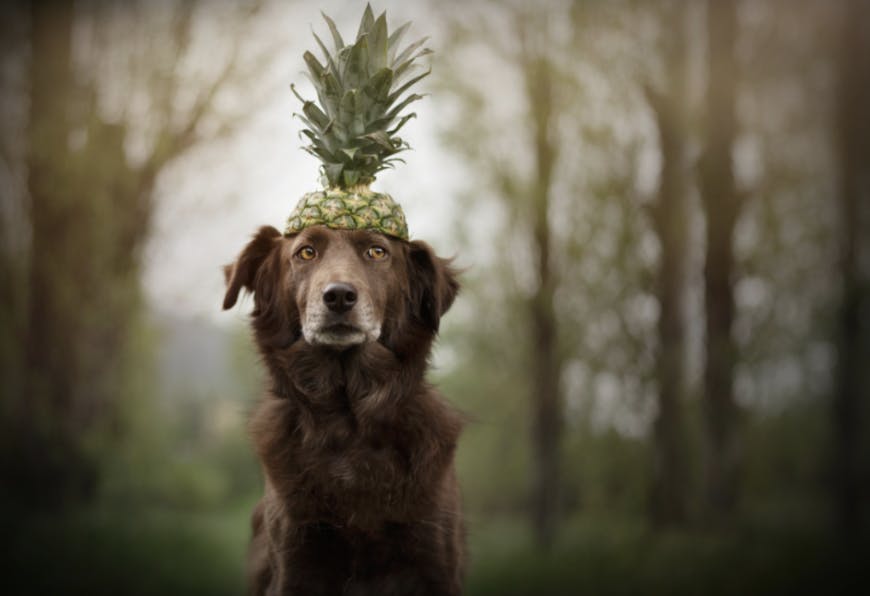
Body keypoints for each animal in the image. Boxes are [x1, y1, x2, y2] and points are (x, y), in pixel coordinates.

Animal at [227, 226, 470, 592]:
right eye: (306, 252)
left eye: (377, 252)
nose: (339, 296)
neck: (347, 421)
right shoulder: (294, 560)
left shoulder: (434, 560)